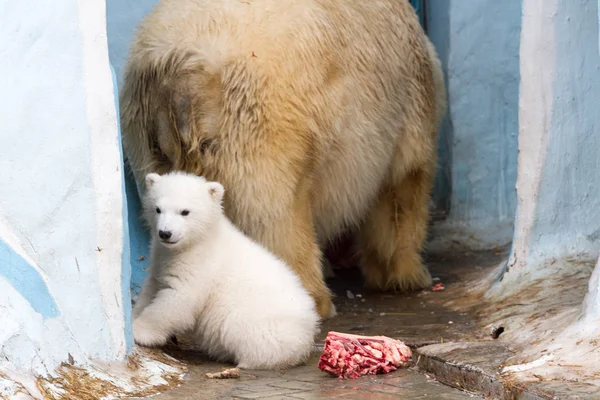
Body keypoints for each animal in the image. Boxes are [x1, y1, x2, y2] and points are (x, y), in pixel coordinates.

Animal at [119, 0, 446, 318]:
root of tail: (184, 77)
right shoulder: (409, 101)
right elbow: (402, 188)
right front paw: (407, 274)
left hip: (146, 131)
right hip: (262, 122)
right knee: (275, 215)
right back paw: (311, 299)